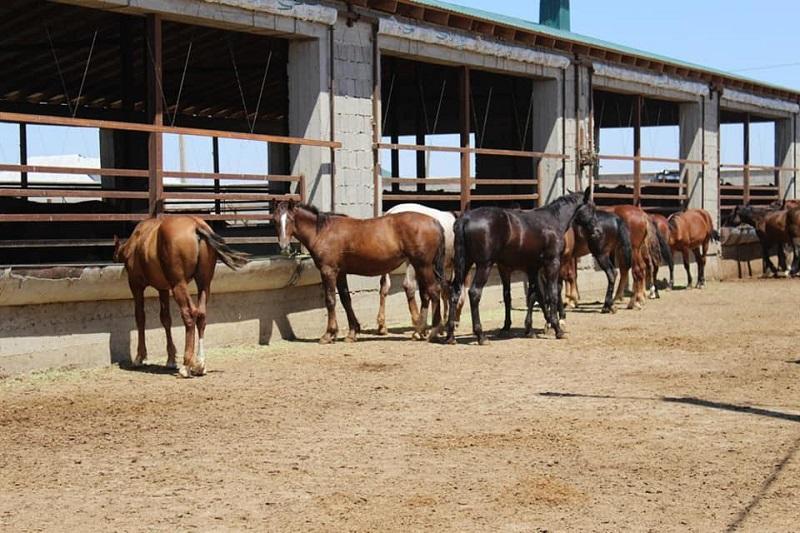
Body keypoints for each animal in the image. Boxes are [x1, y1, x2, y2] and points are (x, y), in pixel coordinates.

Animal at [112, 214, 248, 376]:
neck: (137, 241)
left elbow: (140, 317)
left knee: (189, 314)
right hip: (204, 284)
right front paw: (170, 359)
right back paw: (200, 363)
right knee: (201, 315)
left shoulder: (136, 285)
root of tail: (196, 225)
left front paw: (140, 357)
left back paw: (187, 365)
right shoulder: (163, 289)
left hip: (179, 285)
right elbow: (166, 319)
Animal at [276, 202, 446, 342]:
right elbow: (345, 300)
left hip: (423, 266)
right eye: (276, 220)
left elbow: (330, 300)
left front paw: (329, 334)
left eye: (290, 219)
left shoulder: (328, 271)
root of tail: (434, 221)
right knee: (429, 293)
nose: (284, 246)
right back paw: (422, 331)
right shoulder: (340, 273)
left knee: (434, 291)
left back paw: (433, 331)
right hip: (421, 267)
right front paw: (352, 332)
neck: (324, 232)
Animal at [376, 204, 468, 336]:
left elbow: (437, 292)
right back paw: (417, 325)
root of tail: (390, 213)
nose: (457, 322)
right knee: (409, 286)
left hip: (387, 262)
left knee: (384, 287)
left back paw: (382, 326)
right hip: (411, 262)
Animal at [444, 188, 600, 344]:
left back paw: (450, 335)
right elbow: (552, 294)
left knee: (455, 291)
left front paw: (530, 329)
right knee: (474, 293)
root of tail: (465, 219)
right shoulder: (552, 263)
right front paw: (557, 329)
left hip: (465, 263)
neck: (553, 221)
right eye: (592, 208)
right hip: (484, 265)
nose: (597, 231)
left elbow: (532, 295)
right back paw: (481, 335)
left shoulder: (533, 267)